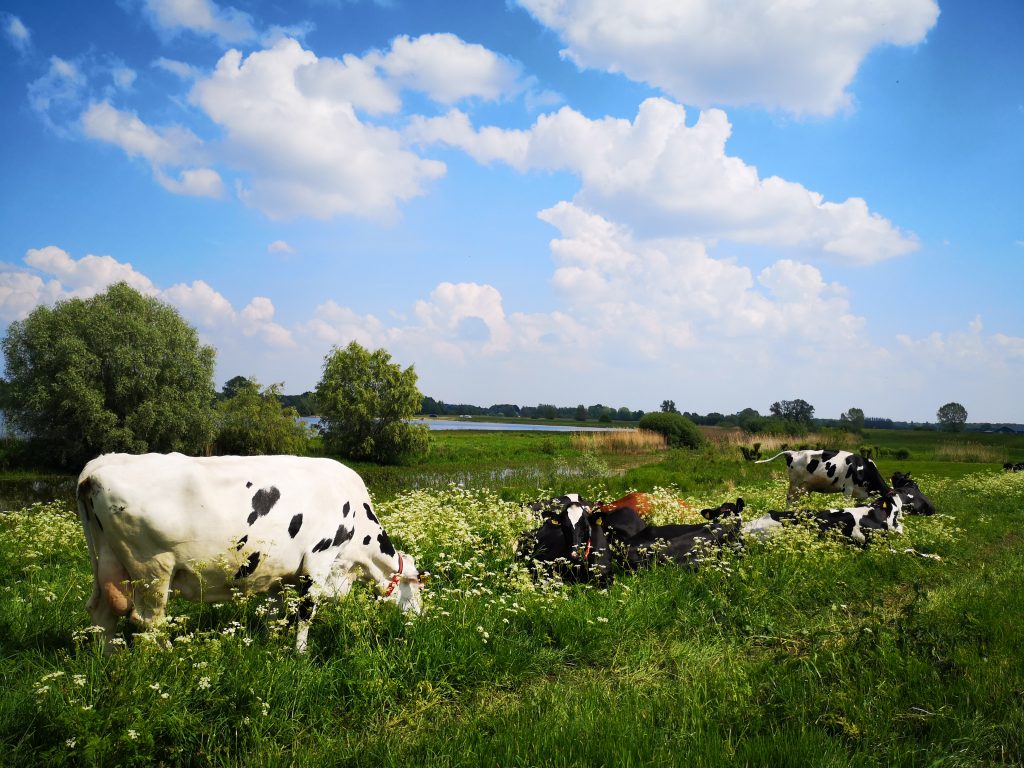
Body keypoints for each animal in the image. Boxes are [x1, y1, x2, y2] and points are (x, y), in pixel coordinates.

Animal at [74, 454, 421, 651]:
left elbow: (274, 613)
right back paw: (166, 657)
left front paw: (270, 644)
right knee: (148, 621)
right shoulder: (318, 560)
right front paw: (301, 653)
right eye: (417, 590)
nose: (422, 619)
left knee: (102, 612)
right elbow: (306, 613)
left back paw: (109, 657)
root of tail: (97, 465)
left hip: (106, 559)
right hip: (151, 568)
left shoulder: (280, 573)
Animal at [753, 450, 888, 505]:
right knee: (789, 499)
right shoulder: (847, 489)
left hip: (804, 487)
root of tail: (793, 452)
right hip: (795, 484)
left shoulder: (859, 495)